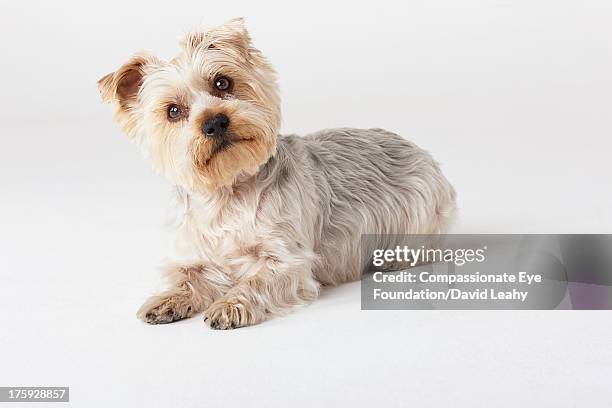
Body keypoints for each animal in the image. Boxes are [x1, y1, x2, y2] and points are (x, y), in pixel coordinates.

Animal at [98, 18, 456, 328]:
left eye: (222, 82)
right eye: (173, 111)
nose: (215, 122)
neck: (229, 190)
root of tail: (416, 147)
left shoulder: (288, 261)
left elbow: (258, 280)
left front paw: (230, 304)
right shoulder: (195, 252)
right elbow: (183, 276)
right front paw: (166, 299)